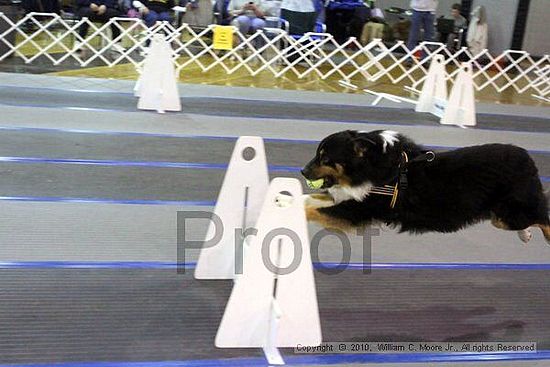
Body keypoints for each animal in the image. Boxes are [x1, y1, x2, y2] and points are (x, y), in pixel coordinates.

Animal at [302, 129, 550, 244]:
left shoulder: (357, 210)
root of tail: (528, 157)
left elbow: (313, 210)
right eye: (317, 154)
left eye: (325, 158)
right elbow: (310, 200)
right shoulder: (348, 199)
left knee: (542, 216)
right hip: (501, 214)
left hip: (512, 210)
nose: (303, 172)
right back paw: (525, 235)